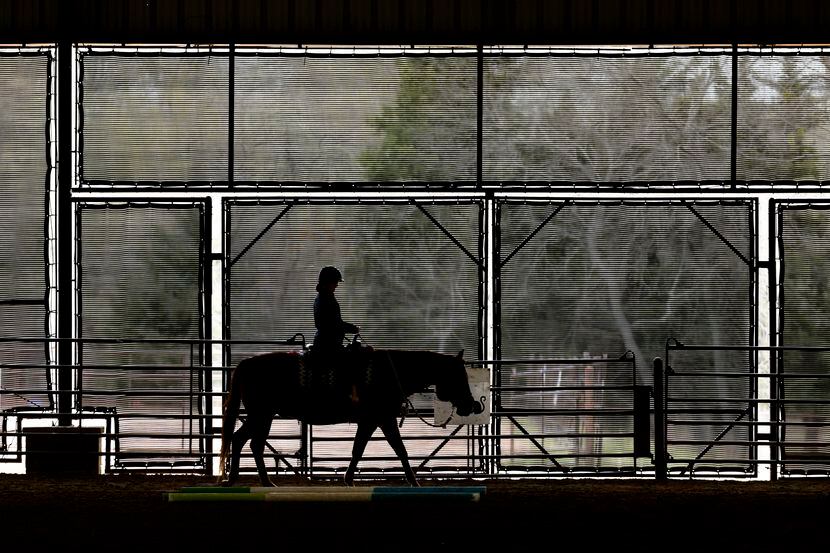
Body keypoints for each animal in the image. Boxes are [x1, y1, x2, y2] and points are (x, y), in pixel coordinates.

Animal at [218, 348, 484, 486]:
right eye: (459, 377)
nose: (471, 405)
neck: (390, 373)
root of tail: (247, 363)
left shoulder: (373, 421)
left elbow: (362, 449)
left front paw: (349, 478)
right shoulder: (382, 419)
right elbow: (398, 449)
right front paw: (414, 482)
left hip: (262, 416)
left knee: (243, 441)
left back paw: (241, 480)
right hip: (261, 415)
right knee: (250, 442)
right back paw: (258, 481)